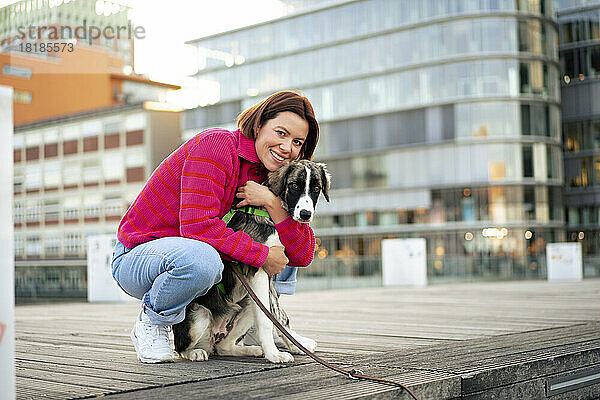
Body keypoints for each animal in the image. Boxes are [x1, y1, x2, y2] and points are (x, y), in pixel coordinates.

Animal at [173, 159, 330, 362]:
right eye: (294, 185)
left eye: (316, 188)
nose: (305, 214)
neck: (268, 212)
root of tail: (215, 335)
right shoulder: (260, 270)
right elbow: (267, 321)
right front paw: (274, 354)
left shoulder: (269, 275)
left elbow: (279, 316)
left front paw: (297, 344)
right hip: (200, 316)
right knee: (181, 347)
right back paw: (195, 352)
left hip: (248, 303)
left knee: (224, 347)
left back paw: (251, 350)